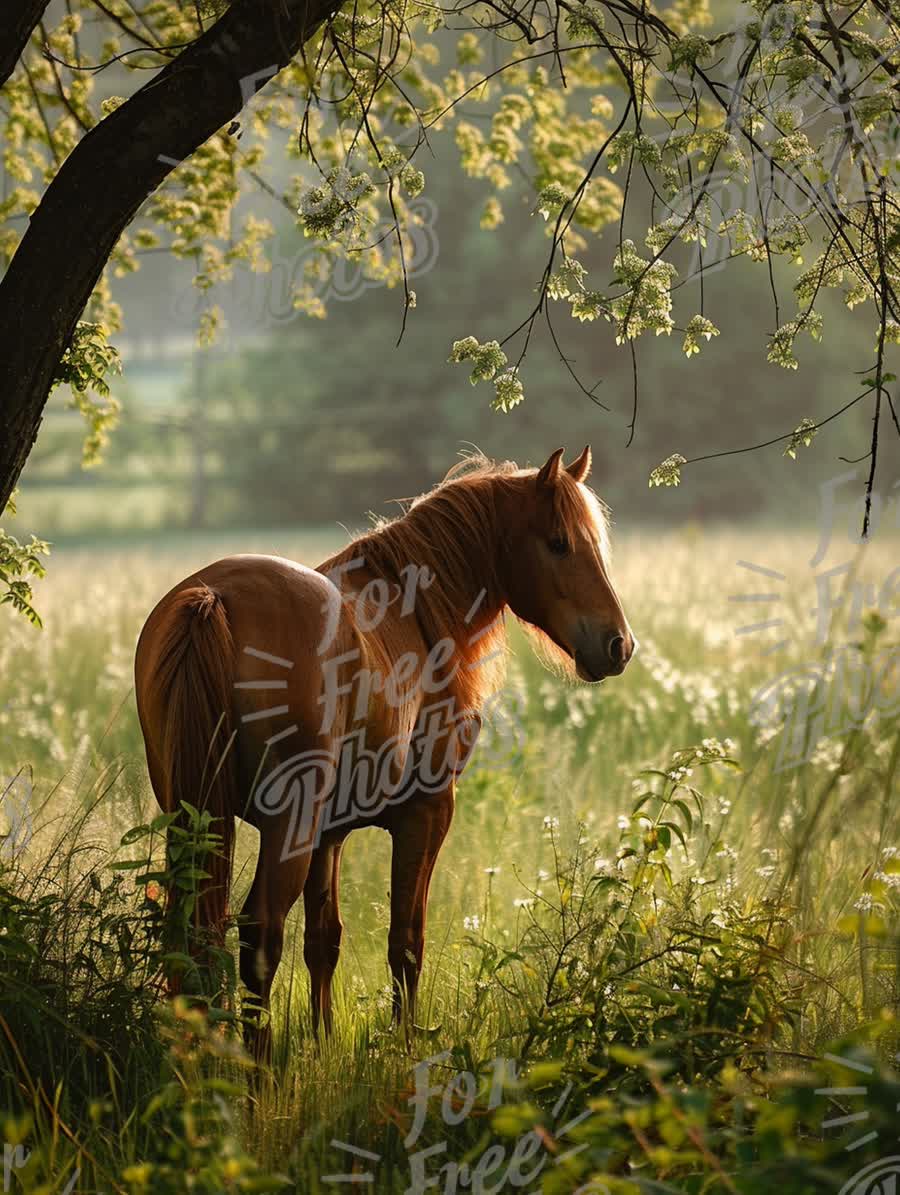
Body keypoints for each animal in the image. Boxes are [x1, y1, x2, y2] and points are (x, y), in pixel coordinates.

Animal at [136, 449, 635, 1056]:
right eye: (560, 542)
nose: (618, 645)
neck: (416, 619)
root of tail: (214, 599)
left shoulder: (329, 834)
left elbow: (324, 940)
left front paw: (324, 1042)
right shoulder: (426, 813)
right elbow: (406, 939)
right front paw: (403, 1045)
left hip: (195, 816)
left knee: (190, 932)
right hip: (285, 827)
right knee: (259, 934)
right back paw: (257, 1067)